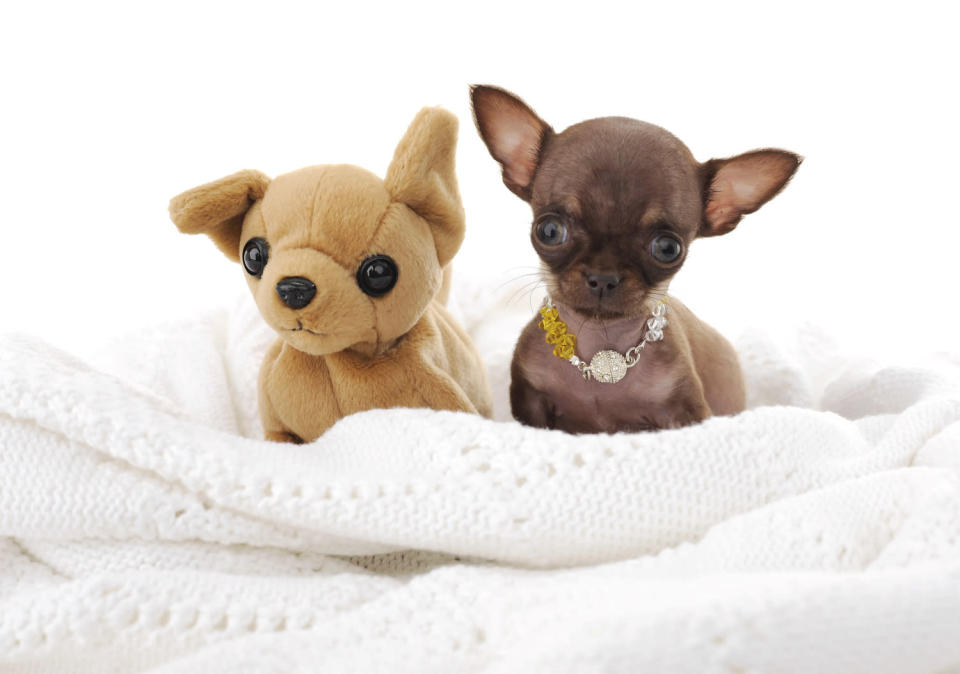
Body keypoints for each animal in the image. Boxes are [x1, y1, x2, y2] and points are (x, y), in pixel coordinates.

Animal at [472, 85, 804, 430]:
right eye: (549, 231)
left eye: (668, 249)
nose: (603, 277)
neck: (600, 341)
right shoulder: (532, 403)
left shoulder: (685, 413)